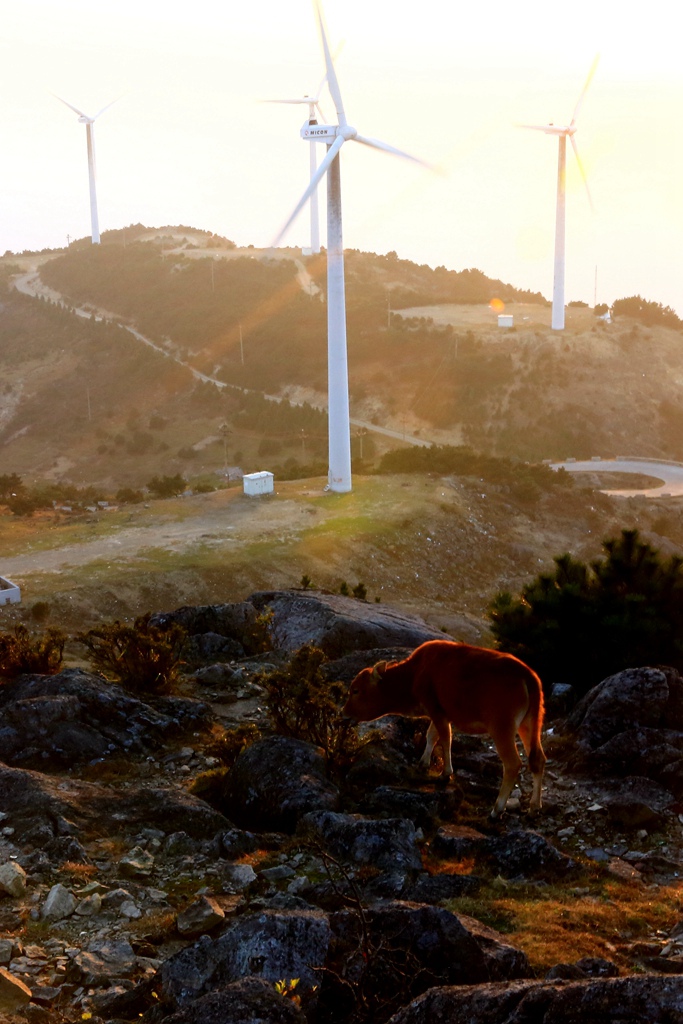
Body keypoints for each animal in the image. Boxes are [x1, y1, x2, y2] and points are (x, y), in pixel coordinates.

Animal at [344, 638, 548, 815]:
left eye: (356, 690)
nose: (345, 712)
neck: (415, 673)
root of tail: (528, 675)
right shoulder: (440, 712)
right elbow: (432, 735)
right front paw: (423, 762)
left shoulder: (436, 709)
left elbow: (444, 738)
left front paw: (445, 773)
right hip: (529, 724)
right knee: (538, 759)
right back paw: (534, 806)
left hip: (502, 727)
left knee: (513, 763)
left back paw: (497, 810)